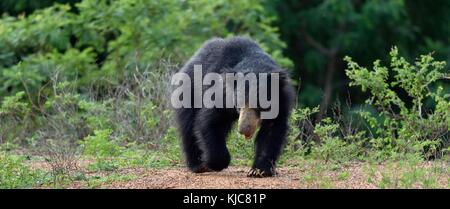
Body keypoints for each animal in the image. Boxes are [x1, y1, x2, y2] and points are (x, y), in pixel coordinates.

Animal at [173, 37, 296, 176]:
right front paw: (216, 163)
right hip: (189, 92)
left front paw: (258, 171)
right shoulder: (221, 93)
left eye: (259, 105)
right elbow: (209, 121)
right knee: (188, 127)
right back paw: (198, 165)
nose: (244, 130)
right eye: (239, 104)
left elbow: (272, 131)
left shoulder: (281, 102)